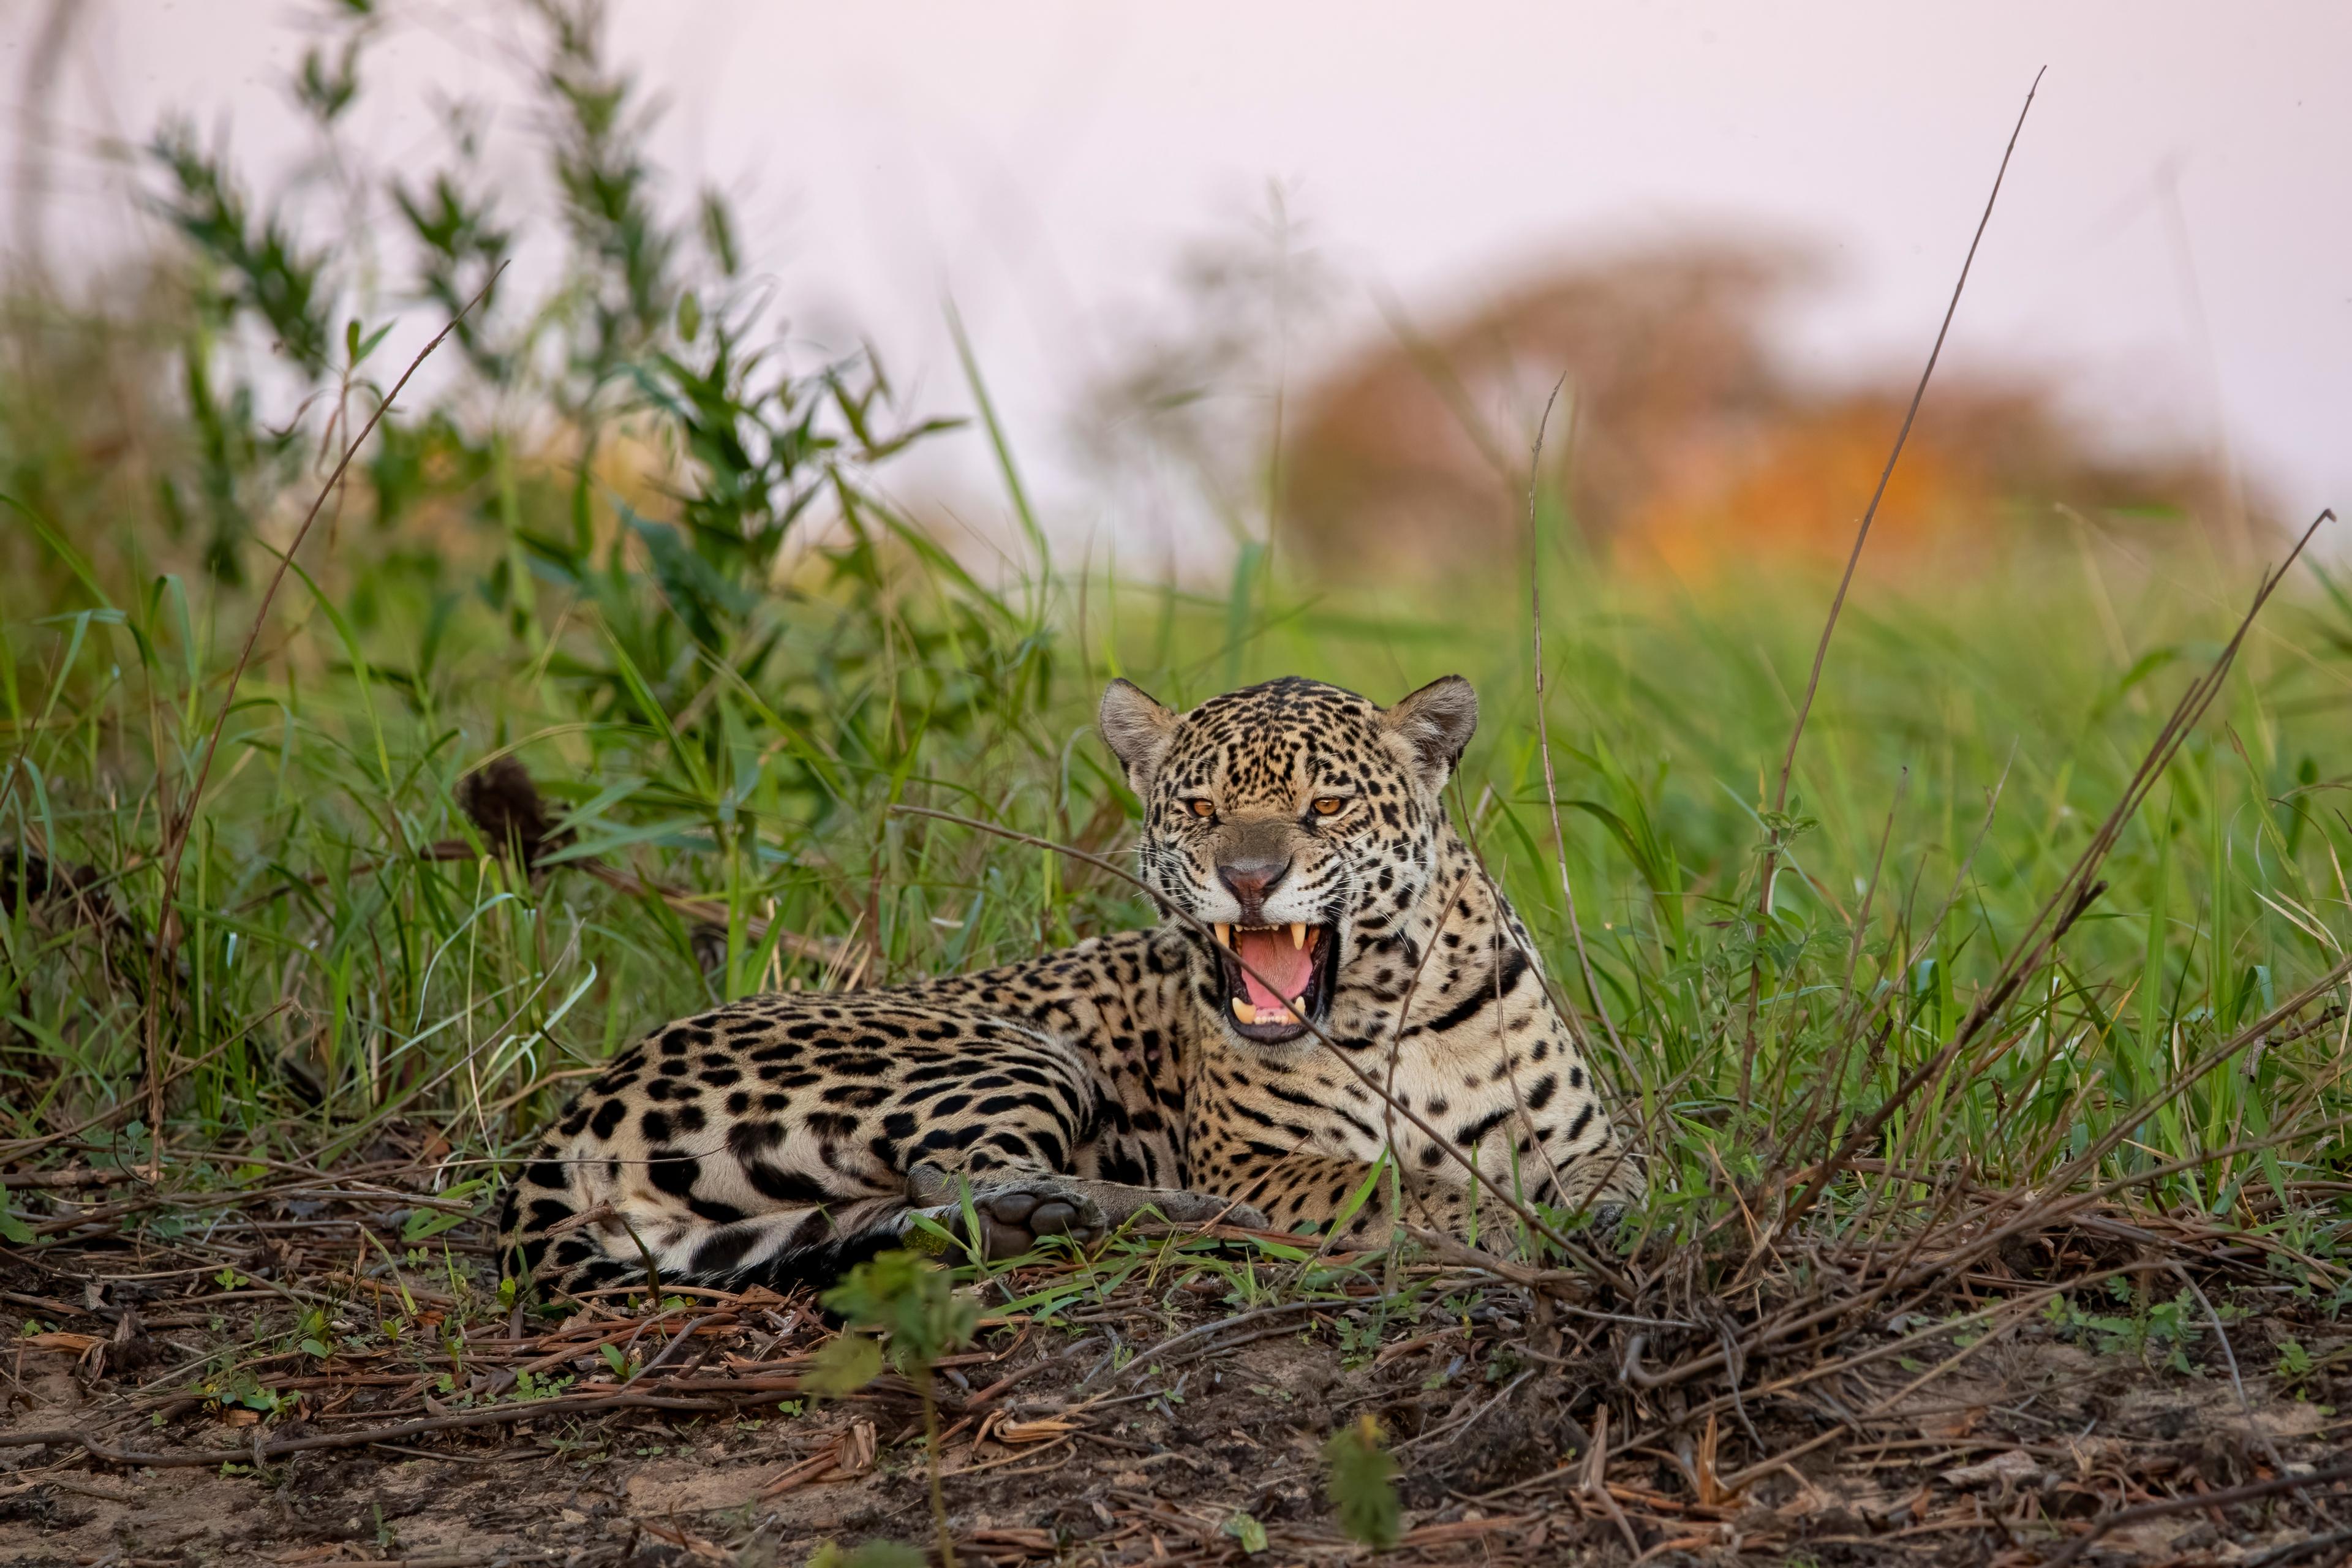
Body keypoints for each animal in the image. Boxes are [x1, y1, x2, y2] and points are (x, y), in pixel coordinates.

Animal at [499, 673, 1643, 1299]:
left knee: (912, 1210)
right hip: (1009, 1050)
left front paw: (1591, 1216)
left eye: (1325, 807)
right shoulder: (1262, 1159)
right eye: (1198, 807)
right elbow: (1401, 1186)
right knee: (961, 1173)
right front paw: (1505, 1224)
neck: (1393, 1010)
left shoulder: (1589, 1138)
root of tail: (576, 1114)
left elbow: (1617, 1180)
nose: (1251, 878)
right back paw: (1144, 1211)